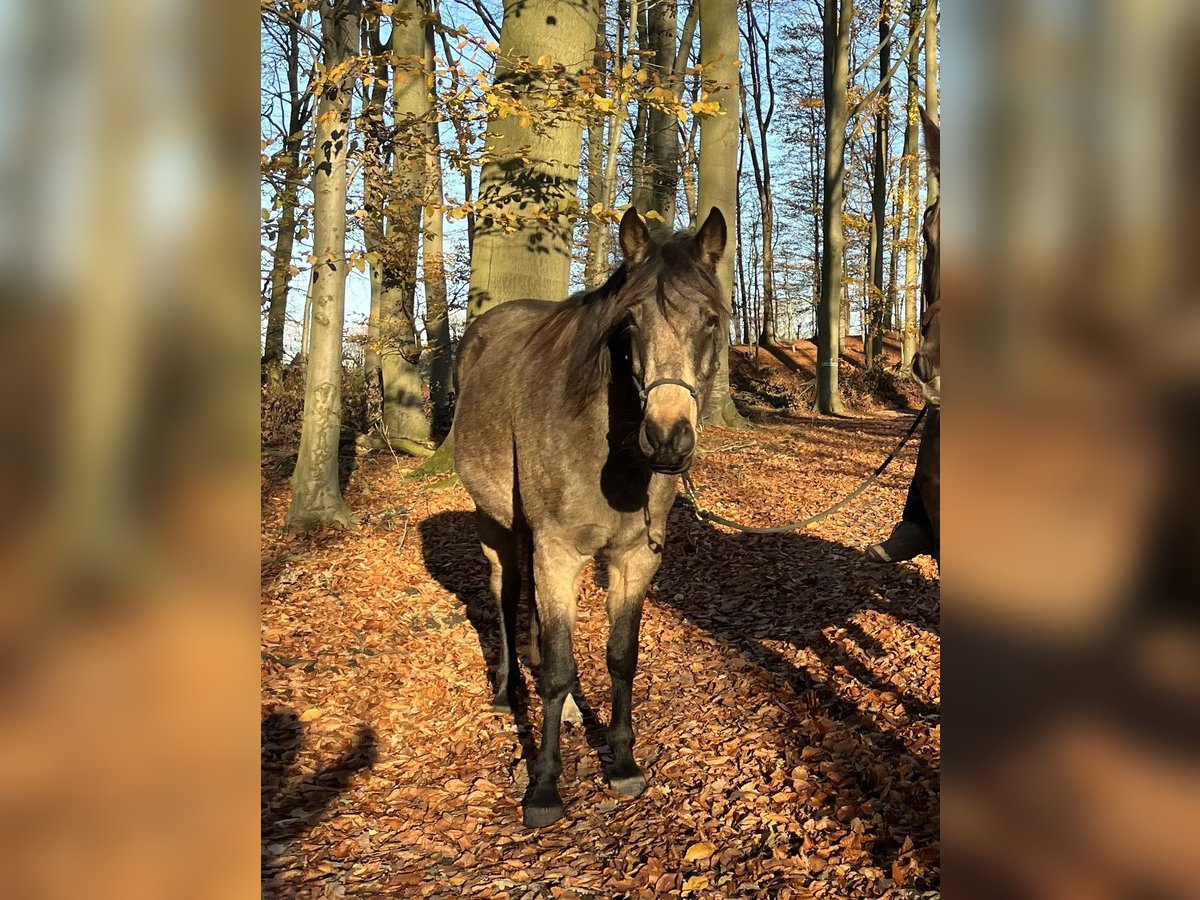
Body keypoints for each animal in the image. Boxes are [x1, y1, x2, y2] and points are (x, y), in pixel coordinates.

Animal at [453, 207, 728, 828]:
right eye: (630, 325)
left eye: (711, 321)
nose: (668, 439)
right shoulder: (558, 551)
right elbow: (557, 670)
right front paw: (544, 786)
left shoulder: (635, 559)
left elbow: (620, 658)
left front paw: (622, 762)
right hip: (496, 526)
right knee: (507, 596)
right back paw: (507, 690)